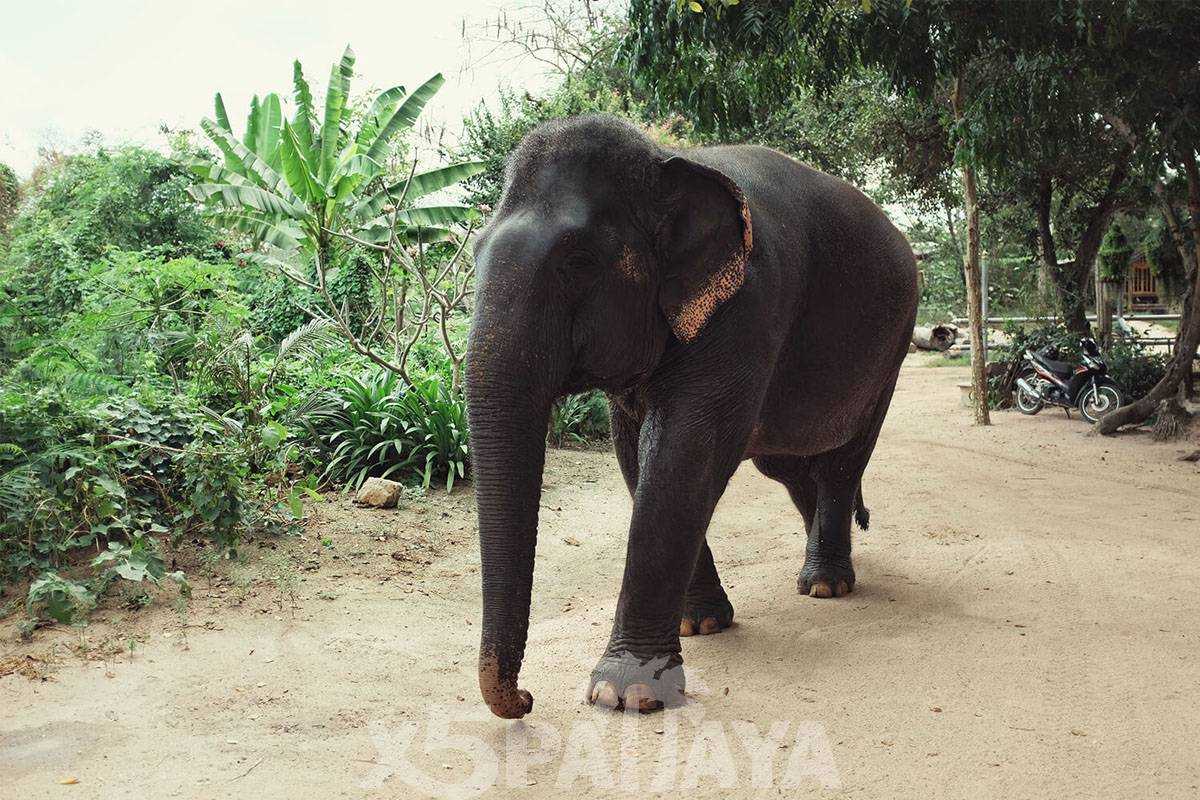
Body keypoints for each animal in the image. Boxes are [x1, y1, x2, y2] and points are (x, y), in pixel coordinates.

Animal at [463, 112, 912, 719]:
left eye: (577, 263)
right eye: (474, 253)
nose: (527, 698)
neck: (666, 162)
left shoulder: (747, 306)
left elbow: (684, 451)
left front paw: (625, 694)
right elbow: (636, 455)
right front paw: (699, 625)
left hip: (892, 349)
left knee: (842, 461)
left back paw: (825, 585)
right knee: (790, 466)